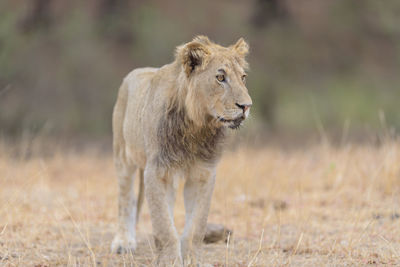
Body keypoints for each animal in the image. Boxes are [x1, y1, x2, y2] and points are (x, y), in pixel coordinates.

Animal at [111, 35, 252, 266]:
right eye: (220, 77)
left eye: (243, 77)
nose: (246, 106)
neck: (198, 127)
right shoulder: (156, 171)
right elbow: (164, 224)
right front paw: (170, 260)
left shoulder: (203, 174)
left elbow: (196, 225)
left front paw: (192, 258)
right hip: (123, 157)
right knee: (125, 199)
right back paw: (123, 241)